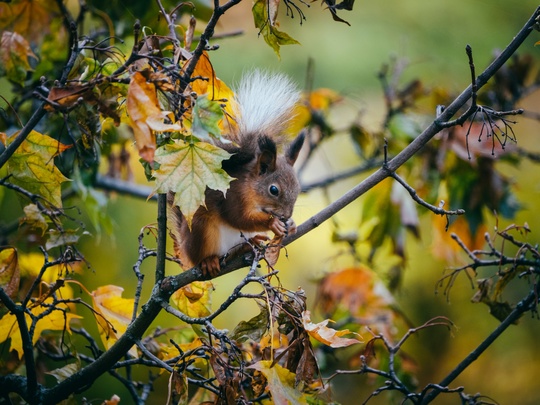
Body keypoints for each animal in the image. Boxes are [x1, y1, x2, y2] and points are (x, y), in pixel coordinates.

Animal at [168, 71, 304, 276]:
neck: (251, 189)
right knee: (200, 256)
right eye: (273, 190)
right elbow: (237, 217)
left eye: (298, 188)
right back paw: (208, 261)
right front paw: (273, 223)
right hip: (201, 229)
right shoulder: (232, 195)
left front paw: (292, 224)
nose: (286, 216)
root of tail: (184, 246)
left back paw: (248, 245)